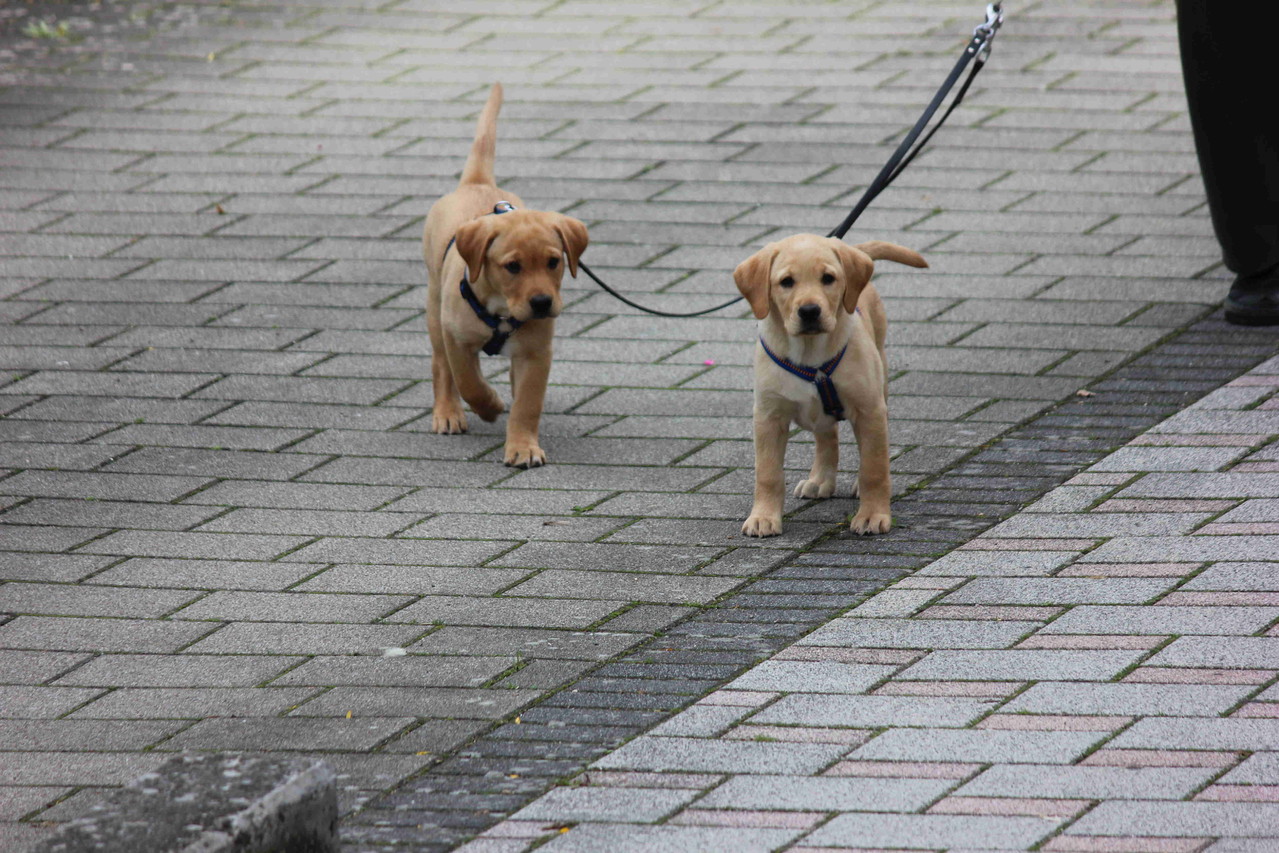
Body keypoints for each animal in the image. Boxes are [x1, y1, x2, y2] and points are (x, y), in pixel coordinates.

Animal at [424, 83, 593, 470]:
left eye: (554, 262)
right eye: (512, 266)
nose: (542, 302)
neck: (502, 309)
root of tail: (477, 183)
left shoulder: (536, 352)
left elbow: (528, 404)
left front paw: (522, 446)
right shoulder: (457, 338)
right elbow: (468, 381)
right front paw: (489, 404)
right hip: (434, 308)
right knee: (441, 367)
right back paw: (448, 412)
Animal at [736, 231, 925, 539]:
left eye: (828, 278)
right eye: (786, 282)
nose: (810, 311)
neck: (810, 353)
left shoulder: (869, 409)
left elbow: (873, 467)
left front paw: (873, 515)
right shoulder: (768, 416)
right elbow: (767, 473)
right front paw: (763, 517)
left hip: (881, 377)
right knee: (827, 436)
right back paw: (820, 479)